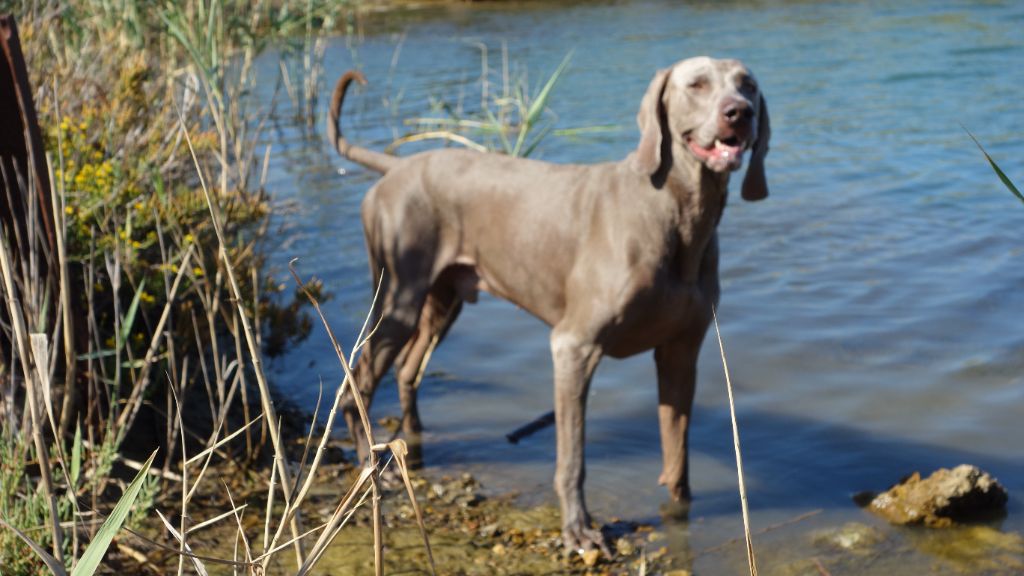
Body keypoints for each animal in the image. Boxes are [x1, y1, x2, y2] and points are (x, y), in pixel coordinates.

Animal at [327, 54, 770, 553]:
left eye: (748, 85)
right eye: (697, 84)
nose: (739, 113)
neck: (677, 212)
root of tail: (396, 167)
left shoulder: (681, 351)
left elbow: (677, 458)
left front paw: (680, 518)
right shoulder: (574, 348)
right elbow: (572, 458)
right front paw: (578, 529)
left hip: (444, 300)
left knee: (407, 369)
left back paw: (414, 439)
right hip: (398, 296)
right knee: (358, 386)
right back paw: (372, 468)